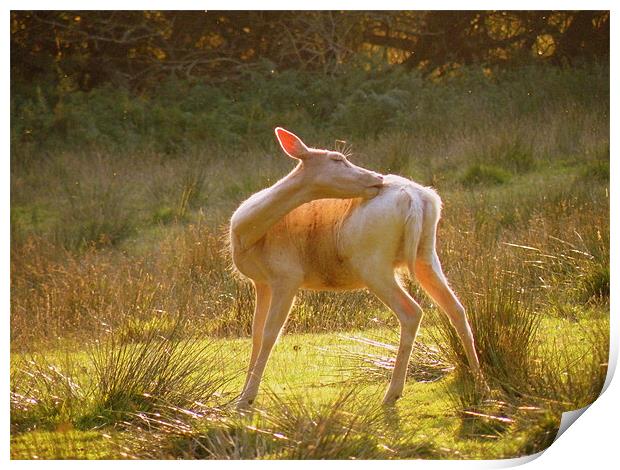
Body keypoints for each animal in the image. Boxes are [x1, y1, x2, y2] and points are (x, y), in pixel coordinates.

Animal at [228, 127, 484, 408]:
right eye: (337, 158)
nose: (377, 177)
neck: (247, 234)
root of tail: (415, 199)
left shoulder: (288, 275)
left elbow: (270, 333)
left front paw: (246, 399)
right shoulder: (261, 281)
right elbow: (255, 333)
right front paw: (242, 395)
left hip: (372, 261)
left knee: (411, 312)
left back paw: (392, 394)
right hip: (425, 254)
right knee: (456, 309)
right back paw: (479, 380)